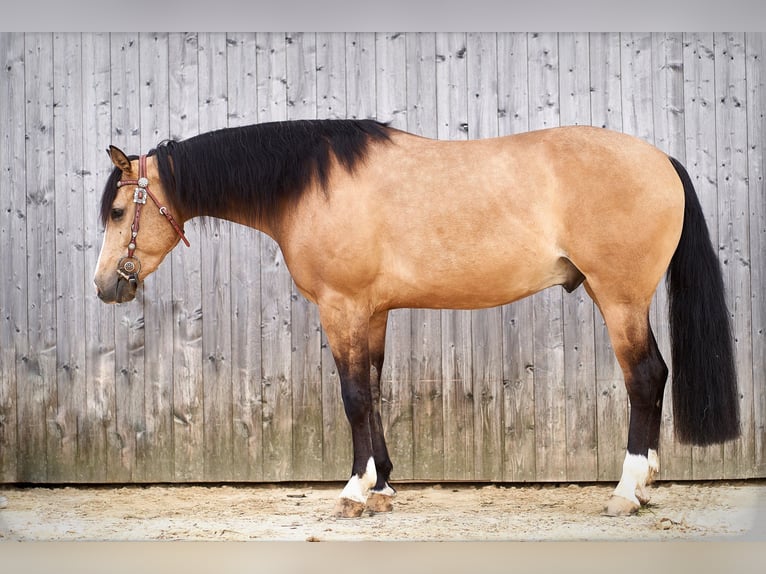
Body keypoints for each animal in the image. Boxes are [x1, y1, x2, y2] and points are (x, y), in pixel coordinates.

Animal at [93, 119, 740, 520]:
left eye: (120, 210)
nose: (105, 286)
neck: (312, 185)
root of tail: (660, 160)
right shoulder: (373, 312)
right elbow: (376, 391)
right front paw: (382, 486)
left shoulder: (342, 307)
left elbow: (354, 396)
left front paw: (353, 492)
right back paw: (647, 483)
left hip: (620, 299)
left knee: (645, 378)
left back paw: (627, 492)